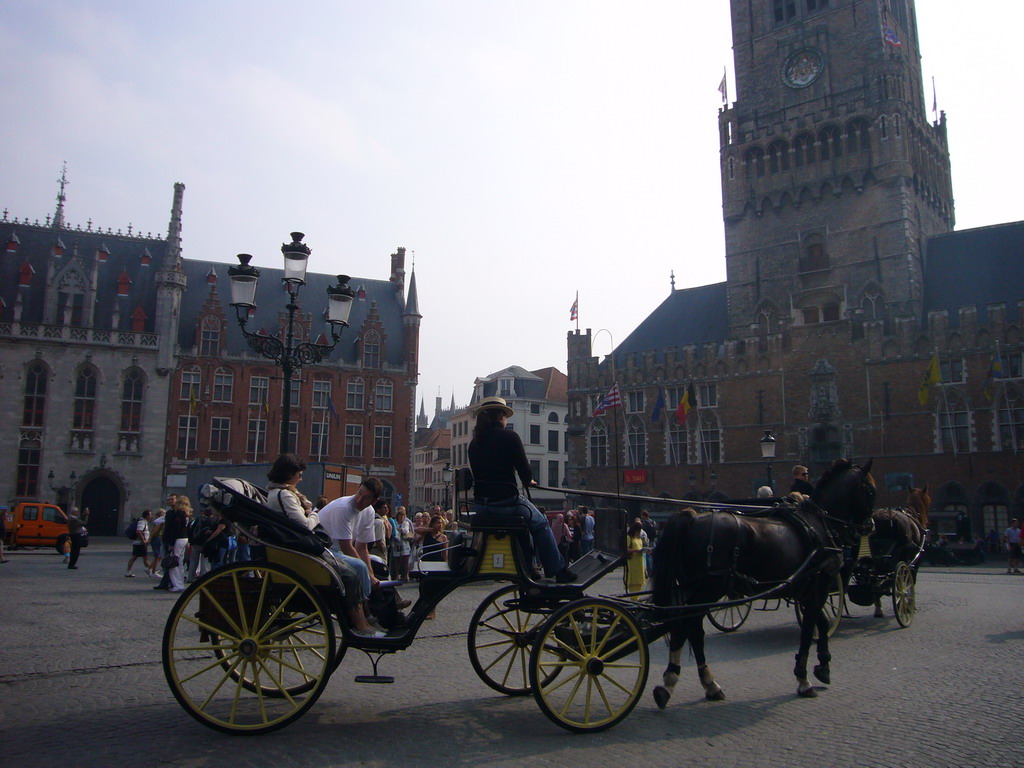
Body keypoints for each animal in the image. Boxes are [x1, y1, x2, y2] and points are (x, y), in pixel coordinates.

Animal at [651, 460, 876, 708]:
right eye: (871, 490)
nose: (870, 525)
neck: (818, 523)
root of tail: (691, 517)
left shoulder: (807, 589)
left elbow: (821, 624)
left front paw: (823, 667)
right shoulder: (819, 586)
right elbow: (810, 629)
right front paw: (804, 678)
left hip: (694, 587)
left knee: (688, 628)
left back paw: (699, 685)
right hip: (709, 587)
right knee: (687, 626)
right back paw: (680, 683)